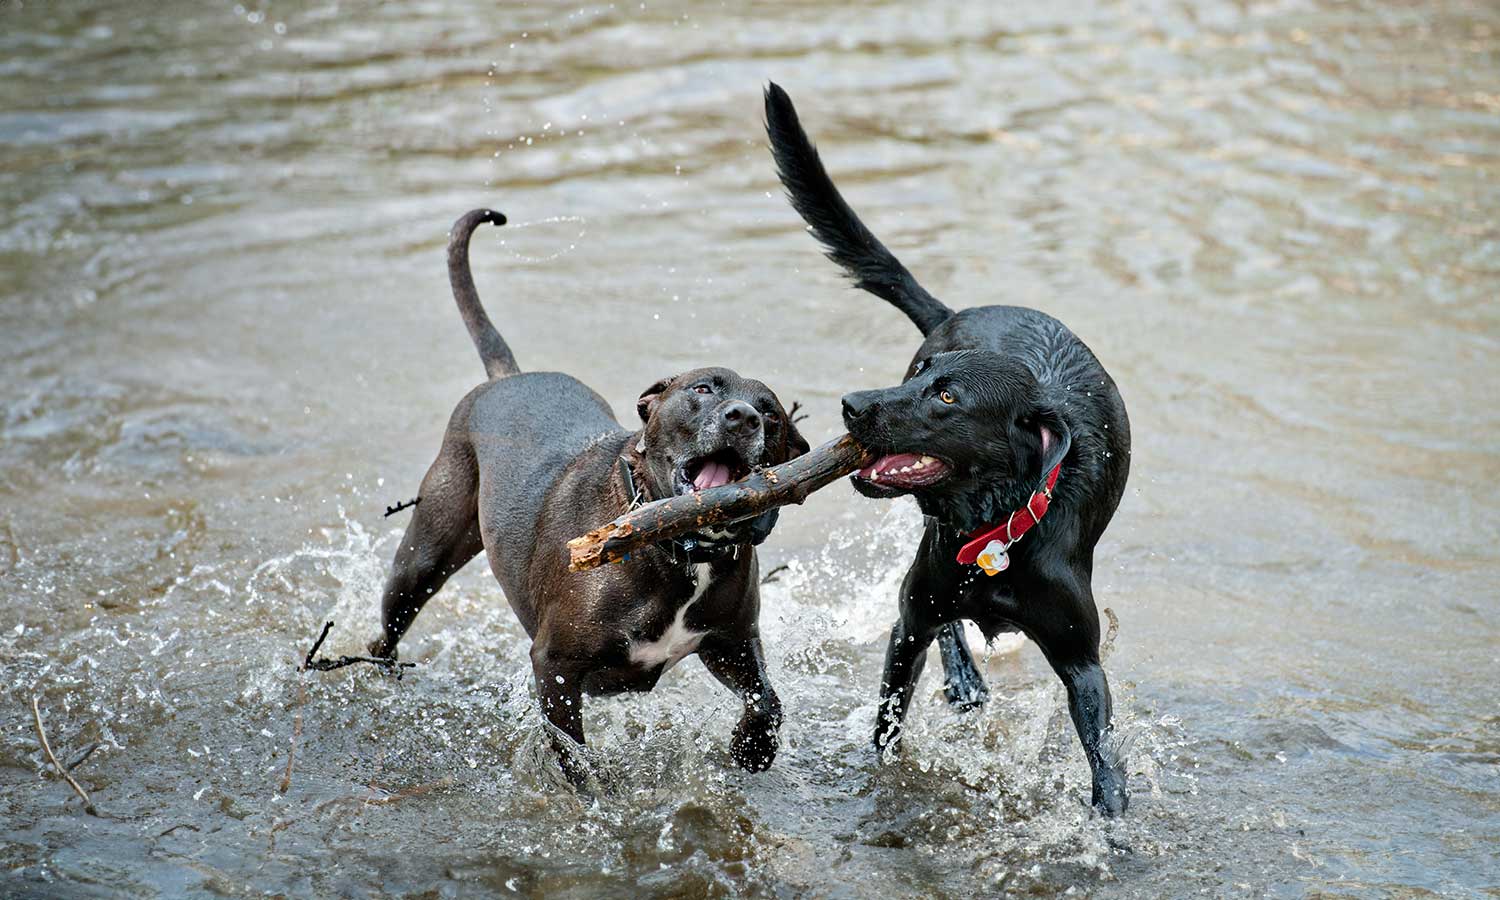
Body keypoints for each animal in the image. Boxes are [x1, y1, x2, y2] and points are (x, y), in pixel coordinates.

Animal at [768, 86, 1128, 816]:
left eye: (947, 397)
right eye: (921, 374)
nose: (852, 404)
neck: (994, 531)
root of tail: (956, 310)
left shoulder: (1083, 663)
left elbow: (1103, 754)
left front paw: (1113, 818)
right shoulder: (908, 626)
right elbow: (887, 719)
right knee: (940, 617)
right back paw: (962, 673)